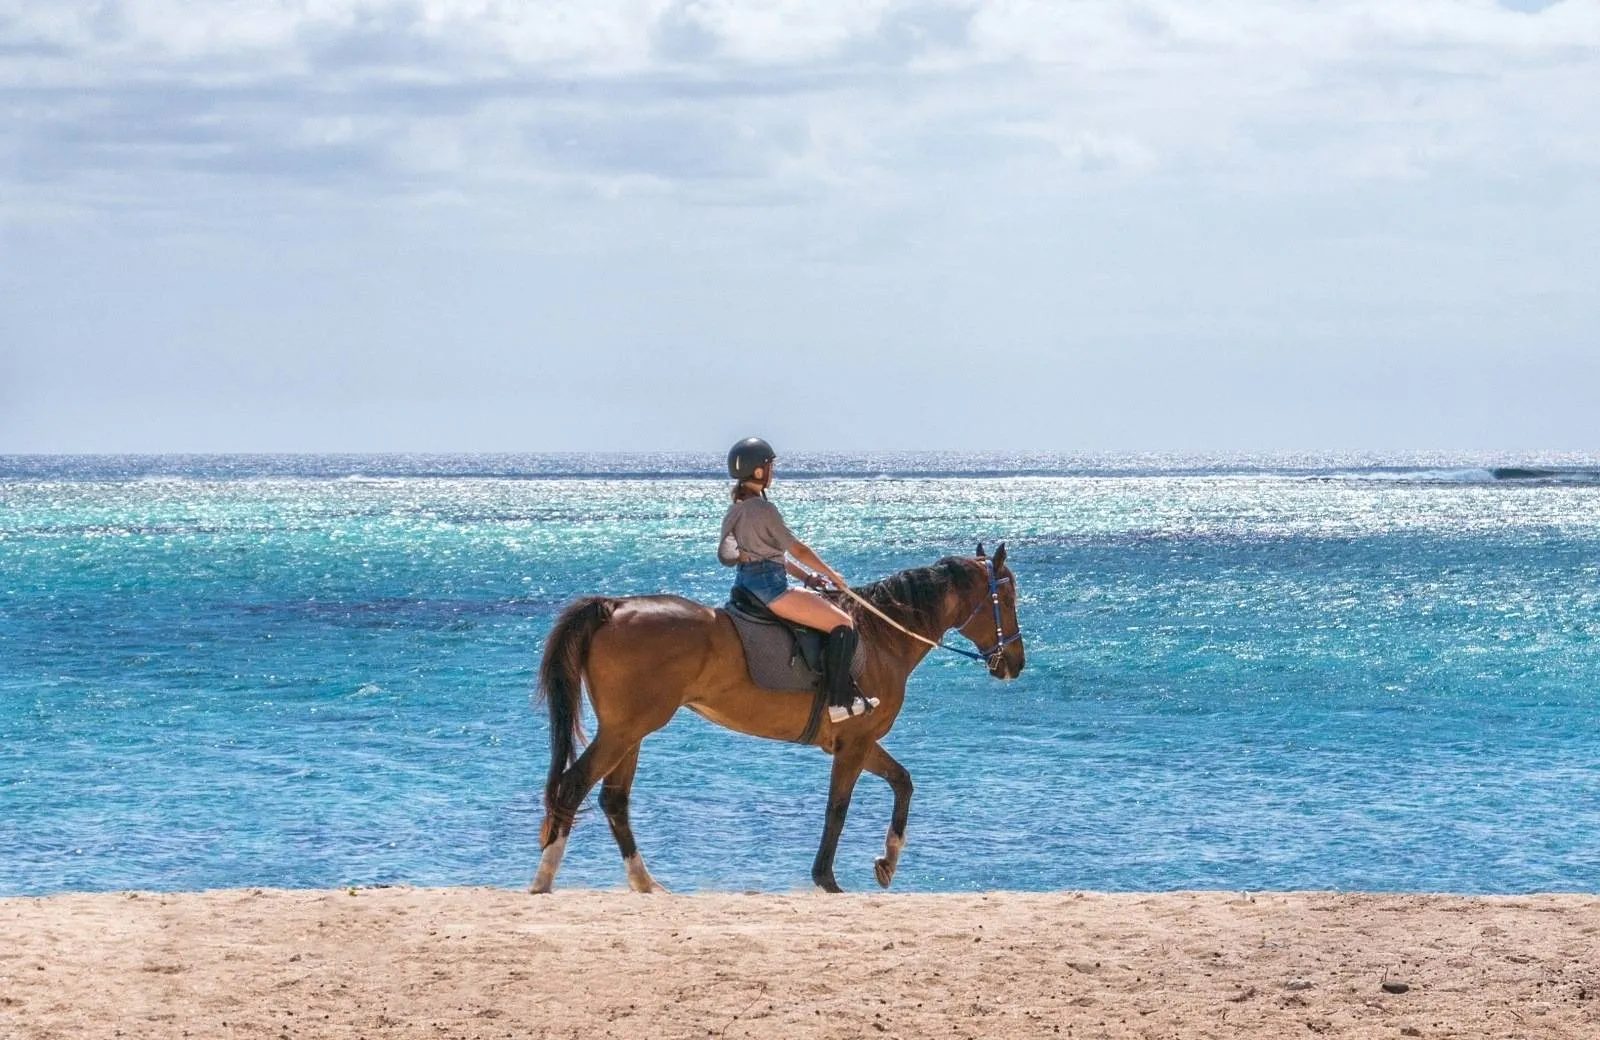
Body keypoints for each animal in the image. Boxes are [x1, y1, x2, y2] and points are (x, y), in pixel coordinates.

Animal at [531, 542, 1025, 894]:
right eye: (1009, 596)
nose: (1015, 663)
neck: (882, 638)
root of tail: (613, 606)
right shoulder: (854, 744)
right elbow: (838, 808)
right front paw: (826, 879)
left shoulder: (857, 742)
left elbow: (903, 782)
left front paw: (887, 862)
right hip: (624, 730)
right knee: (573, 786)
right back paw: (545, 879)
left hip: (630, 732)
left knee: (613, 800)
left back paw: (644, 883)